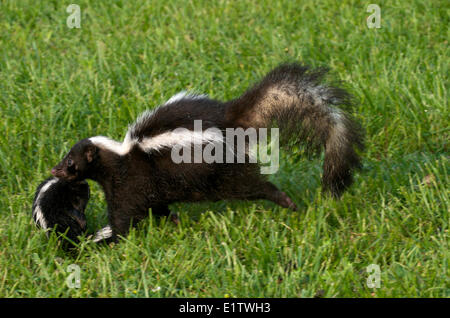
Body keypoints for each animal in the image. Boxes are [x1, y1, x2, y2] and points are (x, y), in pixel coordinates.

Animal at [51, 62, 364, 241]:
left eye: (70, 162)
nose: (53, 170)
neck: (120, 157)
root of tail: (230, 121)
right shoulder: (148, 188)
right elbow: (159, 208)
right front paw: (175, 222)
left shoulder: (131, 183)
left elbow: (124, 216)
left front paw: (108, 237)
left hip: (223, 171)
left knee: (255, 185)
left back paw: (289, 203)